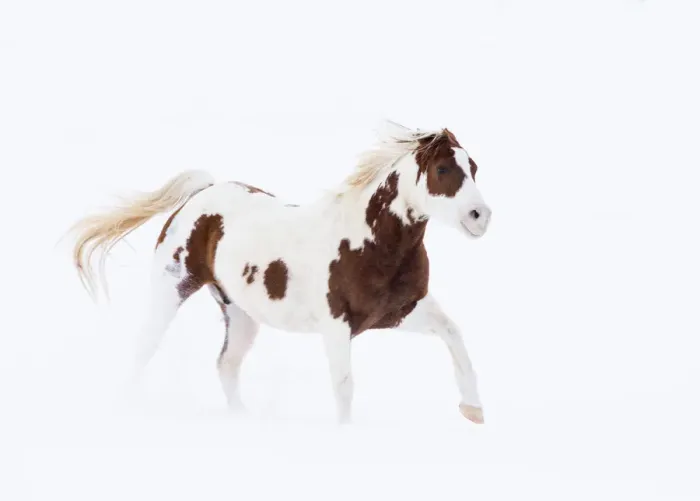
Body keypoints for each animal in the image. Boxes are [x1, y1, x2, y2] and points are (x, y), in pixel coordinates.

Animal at [68, 121, 492, 423]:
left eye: (473, 168)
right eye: (442, 169)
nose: (480, 217)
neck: (370, 242)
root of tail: (202, 192)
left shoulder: (400, 312)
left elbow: (454, 335)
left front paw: (473, 410)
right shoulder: (337, 325)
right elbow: (344, 387)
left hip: (240, 314)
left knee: (226, 365)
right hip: (170, 289)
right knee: (143, 348)